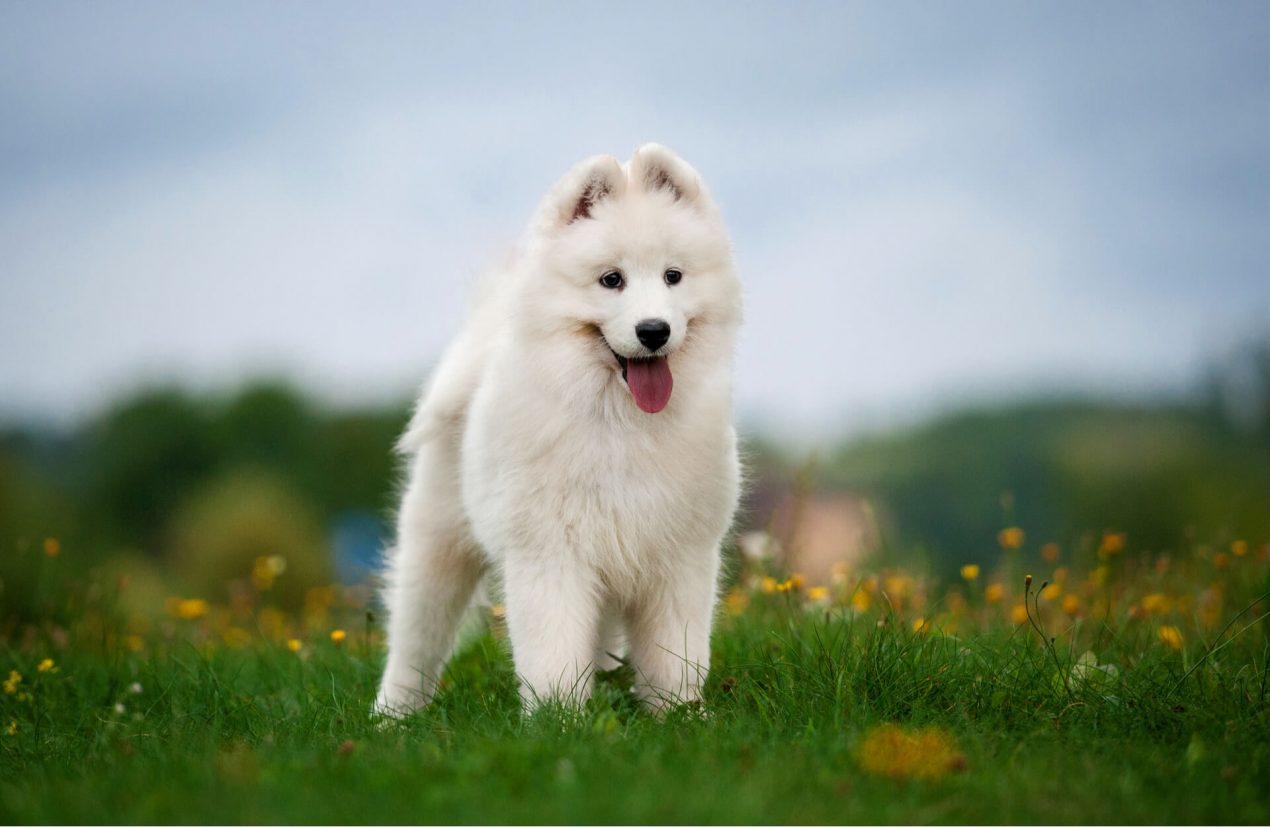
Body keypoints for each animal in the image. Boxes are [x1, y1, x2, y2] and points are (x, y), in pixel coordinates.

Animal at [370, 145, 741, 716]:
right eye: (611, 280)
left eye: (673, 276)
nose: (653, 331)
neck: (620, 422)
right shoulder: (550, 554)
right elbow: (553, 655)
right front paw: (560, 721)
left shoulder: (677, 558)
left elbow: (674, 657)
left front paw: (683, 716)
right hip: (437, 546)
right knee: (415, 642)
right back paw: (393, 716)